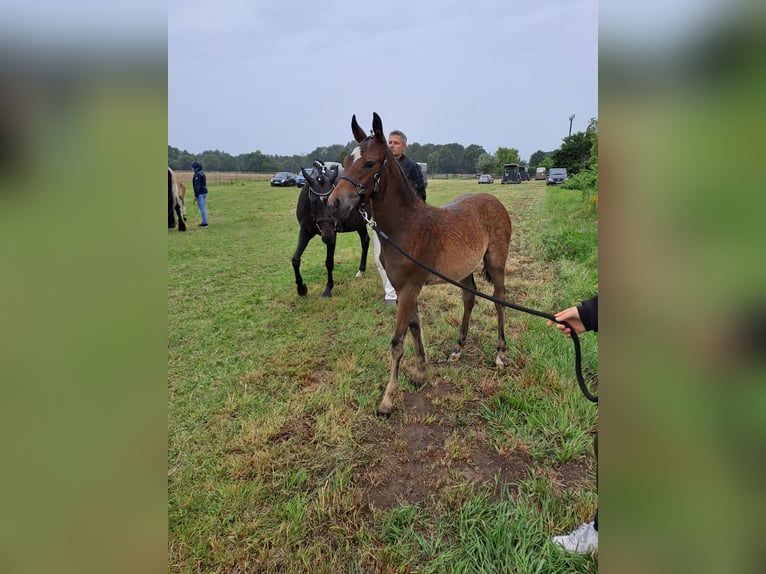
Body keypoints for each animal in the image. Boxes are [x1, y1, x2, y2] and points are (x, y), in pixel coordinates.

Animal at [292, 160, 372, 300]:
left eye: (333, 200)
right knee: (365, 241)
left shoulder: (332, 233)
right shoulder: (305, 231)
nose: (327, 237)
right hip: (360, 224)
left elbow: (329, 262)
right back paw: (361, 271)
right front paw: (301, 289)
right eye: (313, 201)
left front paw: (328, 289)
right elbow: (295, 259)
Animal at [328, 113, 512, 418]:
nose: (334, 204)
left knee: (499, 300)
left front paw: (387, 400)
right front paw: (419, 373)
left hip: (496, 263)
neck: (405, 227)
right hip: (464, 270)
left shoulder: (409, 289)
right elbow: (415, 327)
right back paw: (457, 349)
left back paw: (500, 354)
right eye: (344, 161)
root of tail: (494, 198)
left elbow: (397, 342)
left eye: (369, 163)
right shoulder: (405, 288)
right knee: (469, 297)